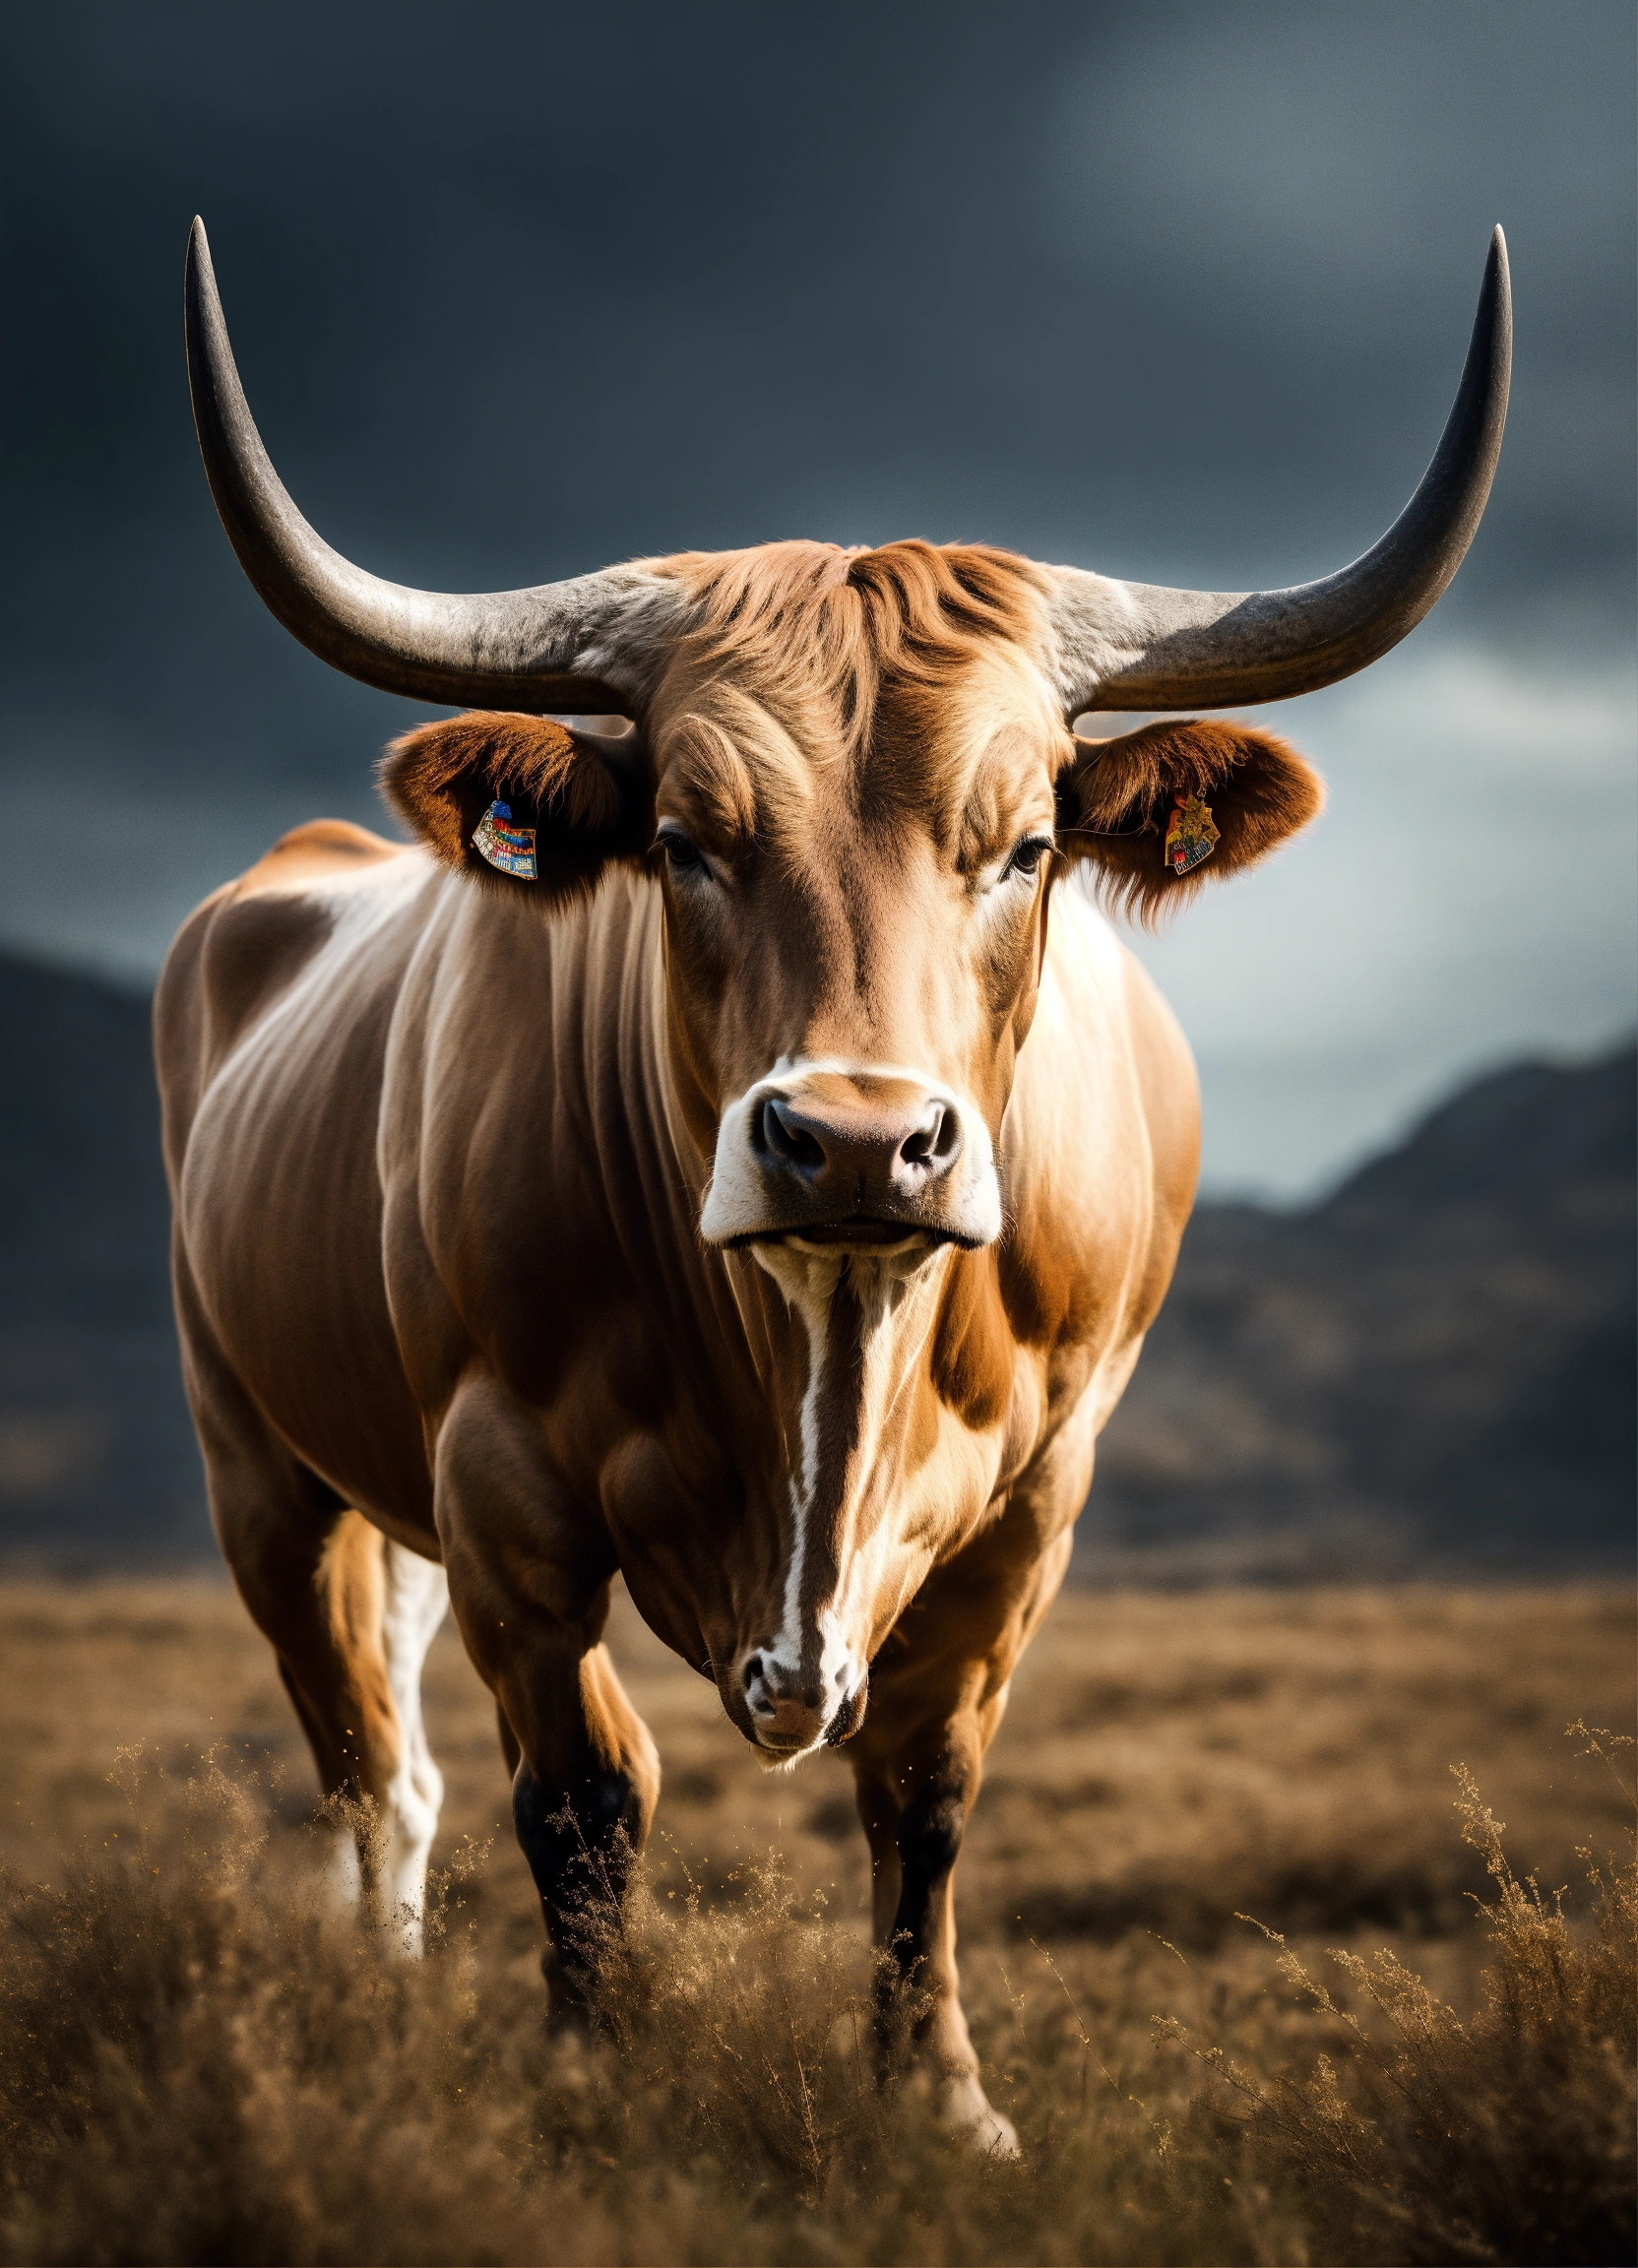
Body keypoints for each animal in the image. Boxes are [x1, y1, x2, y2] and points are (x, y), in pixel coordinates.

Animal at [158, 218, 1508, 2154]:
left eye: (1028, 842)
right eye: (679, 840)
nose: (861, 1140)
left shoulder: (1035, 1502)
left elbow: (923, 1786)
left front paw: (938, 2098)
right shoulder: (504, 1486)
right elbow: (585, 1795)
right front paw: (588, 2080)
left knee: (396, 1769)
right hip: (262, 1466)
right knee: (359, 1757)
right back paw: (368, 2011)